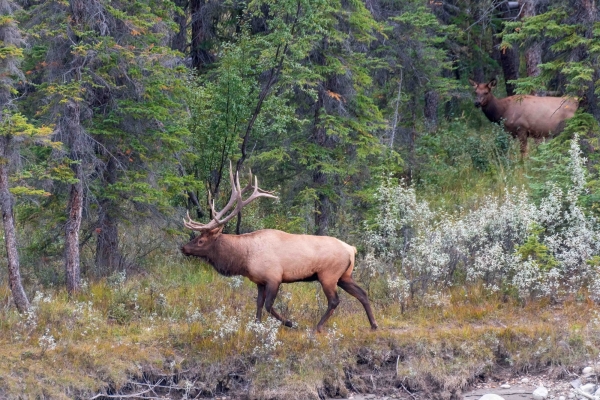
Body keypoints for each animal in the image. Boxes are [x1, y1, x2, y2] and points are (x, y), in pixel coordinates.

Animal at [180, 162, 378, 332]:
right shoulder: (259, 281)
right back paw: (374, 325)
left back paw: (318, 327)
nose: (183, 248)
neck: (244, 258)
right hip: (345, 275)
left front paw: (290, 322)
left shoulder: (274, 277)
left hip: (328, 275)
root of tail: (351, 249)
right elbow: (259, 304)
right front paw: (257, 325)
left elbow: (268, 305)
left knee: (335, 301)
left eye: (201, 241)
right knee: (362, 293)